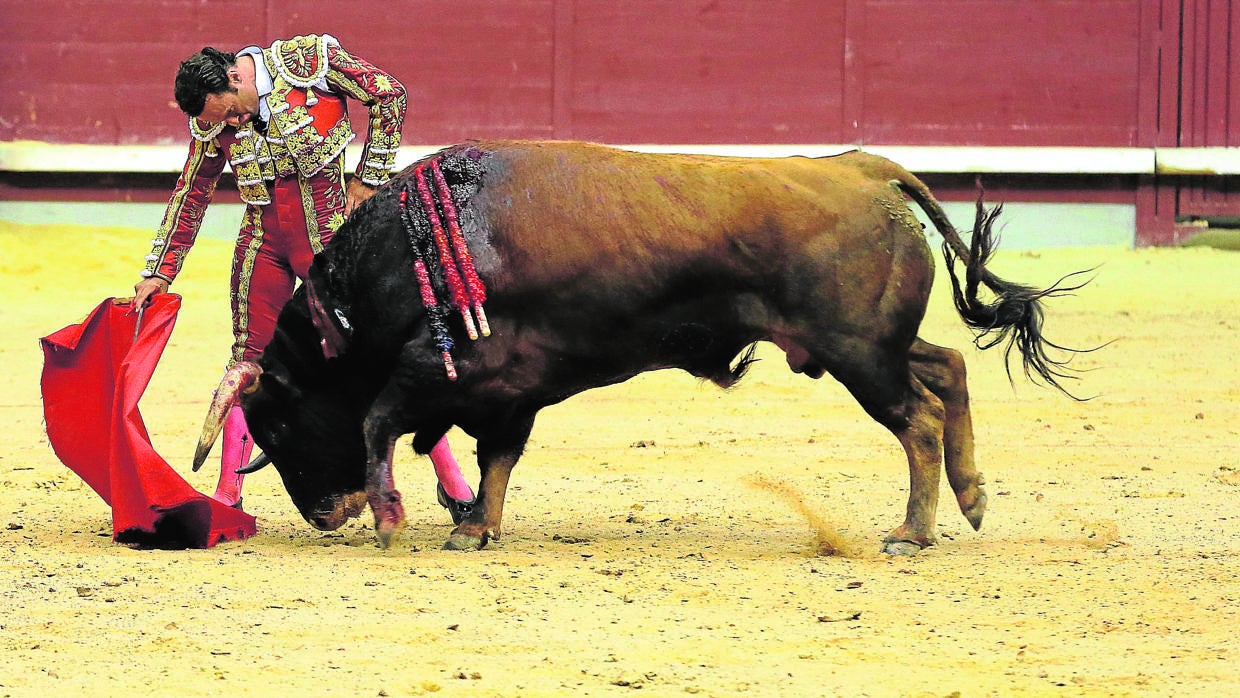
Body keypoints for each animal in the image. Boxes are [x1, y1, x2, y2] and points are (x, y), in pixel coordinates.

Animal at [193, 140, 1086, 557]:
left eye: (279, 426)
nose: (323, 513)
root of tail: (867, 169)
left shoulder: (442, 371)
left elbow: (381, 421)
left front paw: (392, 519)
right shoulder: (511, 388)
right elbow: (495, 458)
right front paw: (475, 528)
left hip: (858, 352)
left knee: (918, 418)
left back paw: (912, 532)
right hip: (865, 343)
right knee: (949, 367)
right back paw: (972, 498)